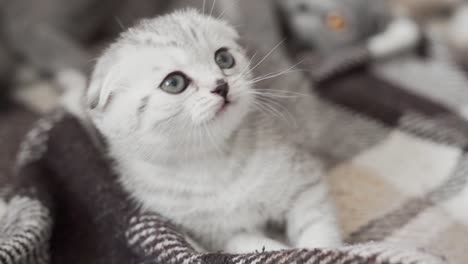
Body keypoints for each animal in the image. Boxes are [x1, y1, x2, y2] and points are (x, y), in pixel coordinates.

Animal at [85, 9, 340, 254]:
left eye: (224, 58)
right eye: (174, 82)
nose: (221, 86)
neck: (213, 164)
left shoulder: (303, 181)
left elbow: (316, 225)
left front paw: (322, 248)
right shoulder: (209, 232)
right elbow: (243, 242)